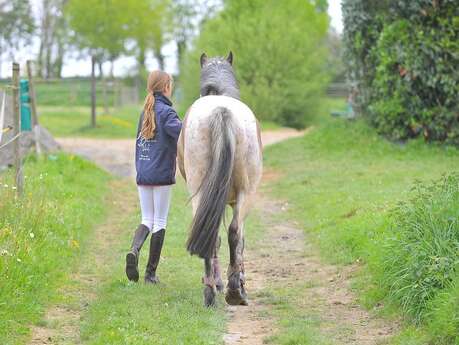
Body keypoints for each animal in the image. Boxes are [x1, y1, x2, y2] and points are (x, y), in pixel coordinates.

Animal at [179, 51, 264, 306]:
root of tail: (221, 110)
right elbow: (241, 242)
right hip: (247, 193)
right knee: (234, 233)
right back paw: (234, 292)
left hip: (201, 191)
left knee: (213, 235)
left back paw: (212, 292)